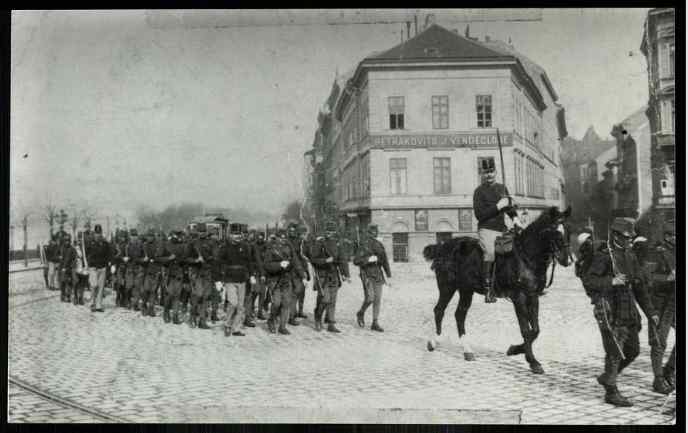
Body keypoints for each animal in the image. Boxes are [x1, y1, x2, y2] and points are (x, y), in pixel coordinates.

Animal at [422, 204, 572, 372]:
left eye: (568, 230)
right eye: (555, 231)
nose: (567, 260)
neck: (526, 257)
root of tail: (442, 247)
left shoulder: (533, 296)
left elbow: (535, 330)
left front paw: (514, 349)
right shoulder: (519, 297)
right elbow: (526, 330)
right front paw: (532, 361)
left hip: (466, 290)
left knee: (459, 315)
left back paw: (467, 351)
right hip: (447, 287)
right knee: (439, 310)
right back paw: (433, 342)